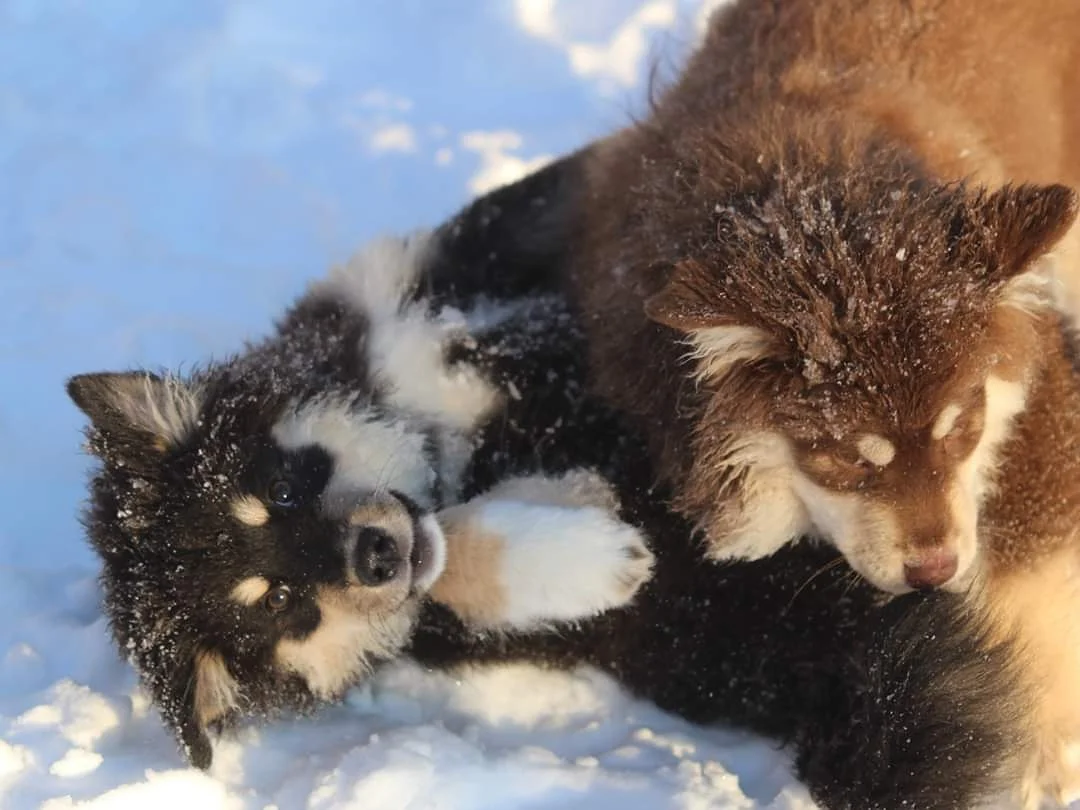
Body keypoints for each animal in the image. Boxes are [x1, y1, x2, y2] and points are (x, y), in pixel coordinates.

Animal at [70, 164, 1031, 809]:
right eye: (279, 605)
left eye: (281, 485)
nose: (374, 555)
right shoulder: (447, 616)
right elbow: (461, 565)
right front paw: (589, 553)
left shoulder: (451, 274)